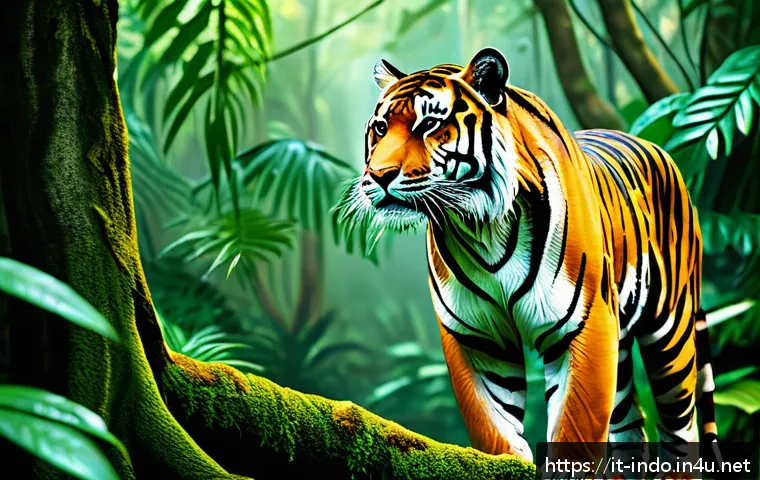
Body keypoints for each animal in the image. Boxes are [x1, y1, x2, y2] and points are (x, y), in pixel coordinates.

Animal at [335, 46, 721, 469]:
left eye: (431, 124)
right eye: (381, 128)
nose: (379, 175)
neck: (481, 227)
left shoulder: (586, 326)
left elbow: (576, 436)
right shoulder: (477, 339)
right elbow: (494, 430)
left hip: (671, 334)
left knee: (680, 431)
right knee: (630, 424)